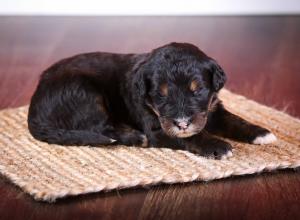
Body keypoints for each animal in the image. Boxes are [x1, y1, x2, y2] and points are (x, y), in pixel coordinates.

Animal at [28, 42, 276, 158]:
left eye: (198, 91)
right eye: (161, 94)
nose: (182, 123)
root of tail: (35, 102)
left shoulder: (211, 108)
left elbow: (234, 120)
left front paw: (262, 133)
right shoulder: (158, 128)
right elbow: (192, 136)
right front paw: (217, 146)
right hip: (85, 92)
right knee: (101, 128)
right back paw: (136, 137)